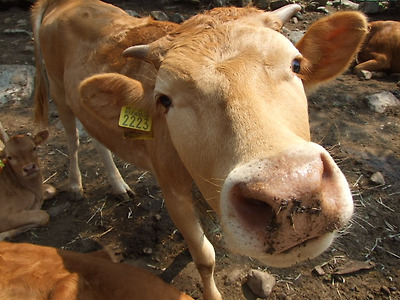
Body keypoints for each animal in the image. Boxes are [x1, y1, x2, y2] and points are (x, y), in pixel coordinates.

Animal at [31, 1, 368, 298]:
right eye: (164, 99)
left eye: (296, 64)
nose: (293, 191)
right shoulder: (172, 191)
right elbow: (204, 255)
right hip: (59, 92)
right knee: (73, 138)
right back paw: (76, 185)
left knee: (98, 139)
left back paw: (118, 184)